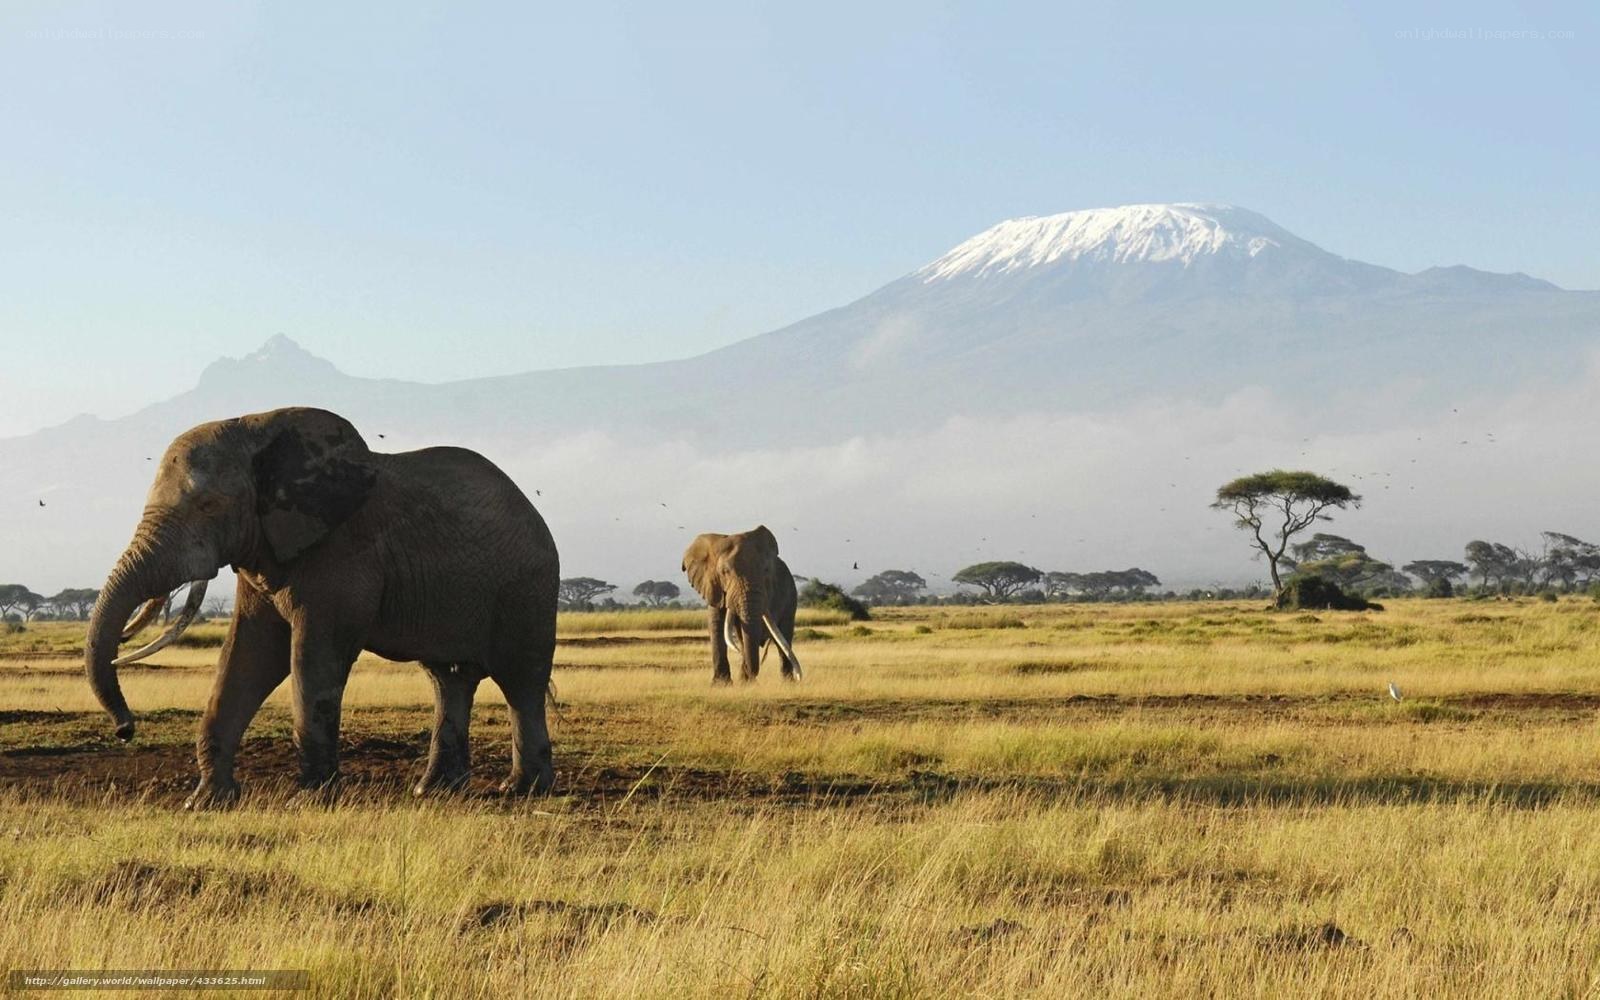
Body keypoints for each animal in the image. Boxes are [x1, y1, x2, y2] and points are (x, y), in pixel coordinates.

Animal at [83, 407, 560, 808]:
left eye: (208, 505)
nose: (125, 730)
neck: (256, 427)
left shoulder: (341, 553)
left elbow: (313, 657)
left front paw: (311, 799)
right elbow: (249, 657)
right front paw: (207, 802)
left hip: (527, 588)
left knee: (521, 682)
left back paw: (523, 790)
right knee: (449, 679)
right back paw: (434, 790)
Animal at [681, 526, 802, 684]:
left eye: (766, 571)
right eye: (724, 572)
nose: (752, 677)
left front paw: (743, 682)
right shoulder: (713, 586)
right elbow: (717, 624)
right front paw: (721, 684)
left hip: (791, 597)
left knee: (784, 637)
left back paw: (787, 683)